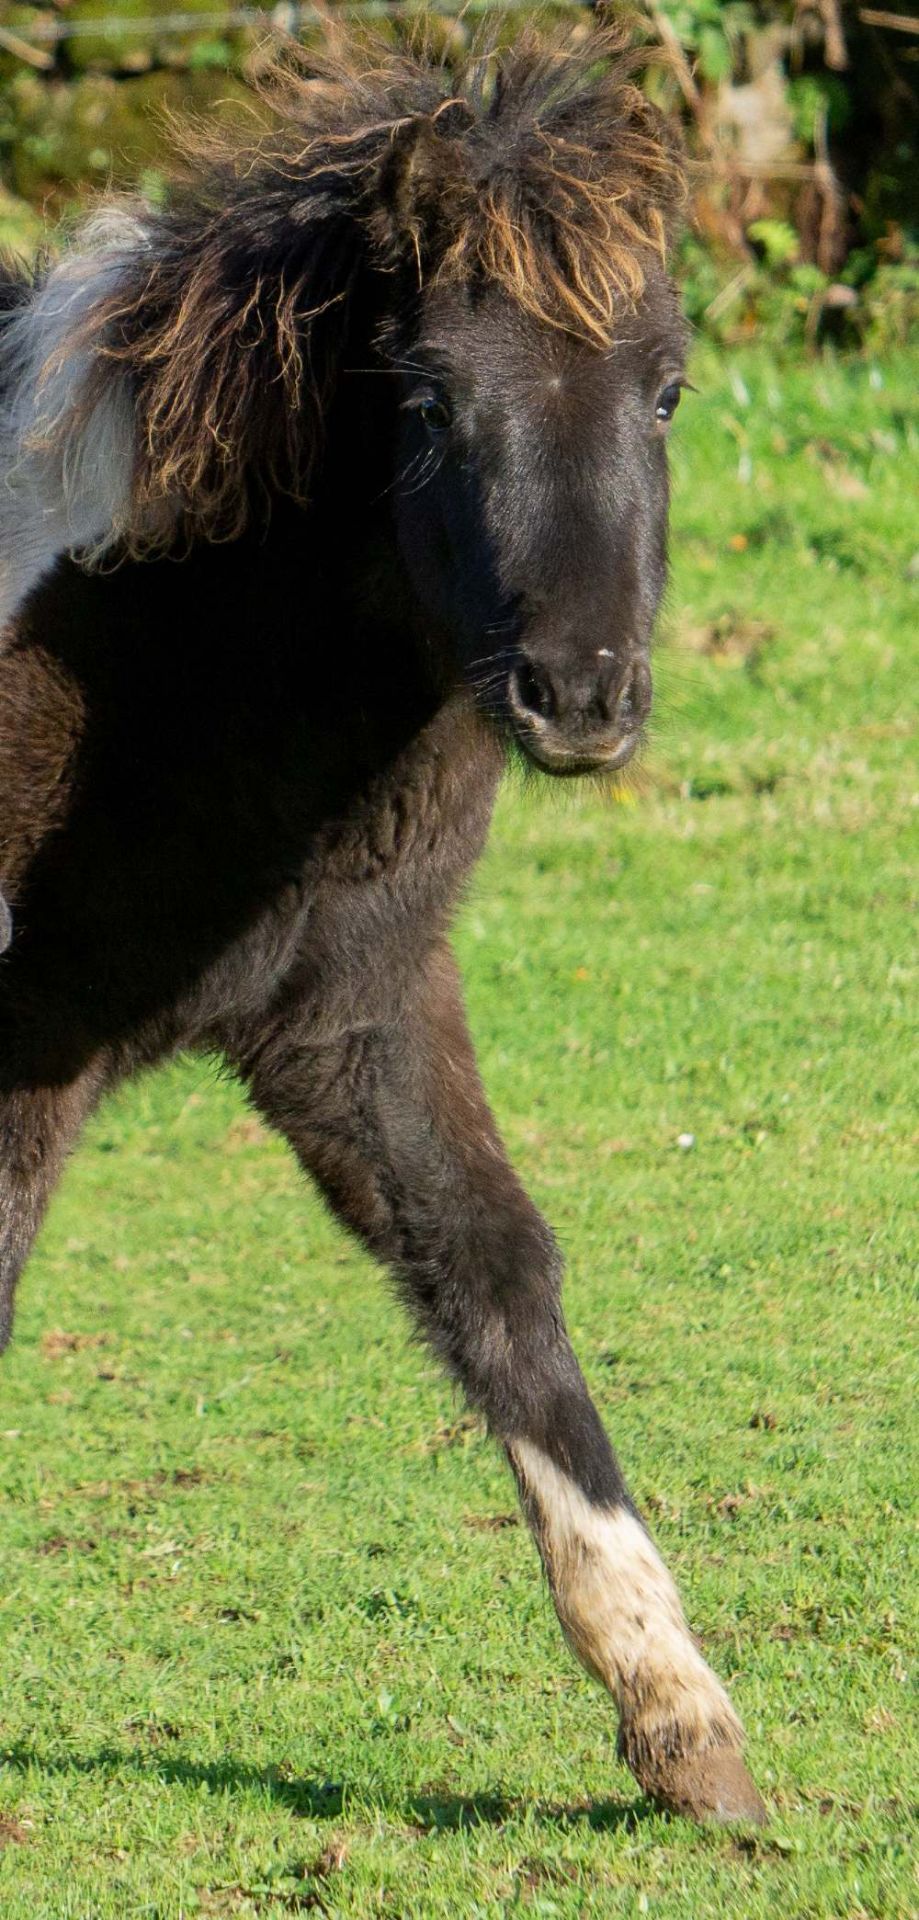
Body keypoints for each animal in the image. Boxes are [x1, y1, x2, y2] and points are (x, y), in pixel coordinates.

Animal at [0, 22, 763, 1820]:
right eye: (425, 400)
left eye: (665, 388)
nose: (577, 698)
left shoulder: (352, 1013)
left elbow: (492, 1272)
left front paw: (678, 1716)